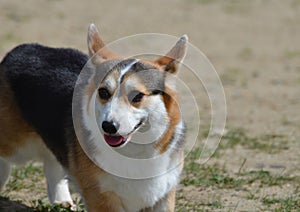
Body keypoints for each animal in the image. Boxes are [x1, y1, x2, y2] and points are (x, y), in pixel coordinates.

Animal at [0, 24, 188, 211]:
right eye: (103, 92)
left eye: (137, 96)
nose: (108, 126)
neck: (135, 151)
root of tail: (21, 48)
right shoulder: (101, 197)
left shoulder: (164, 196)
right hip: (15, 146)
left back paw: (61, 200)